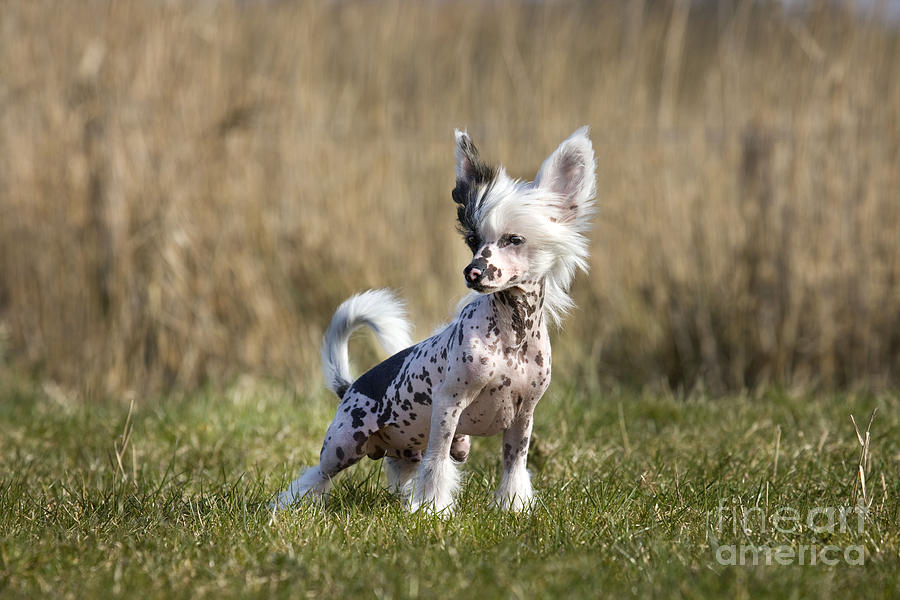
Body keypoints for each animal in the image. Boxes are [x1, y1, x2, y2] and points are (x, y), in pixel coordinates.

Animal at [274, 127, 596, 516]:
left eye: (514, 239)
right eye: (472, 239)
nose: (472, 271)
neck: (511, 336)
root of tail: (349, 386)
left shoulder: (524, 416)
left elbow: (514, 464)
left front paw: (512, 507)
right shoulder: (448, 404)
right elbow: (438, 462)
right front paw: (431, 510)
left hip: (415, 449)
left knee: (401, 472)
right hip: (342, 446)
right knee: (315, 476)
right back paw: (289, 506)